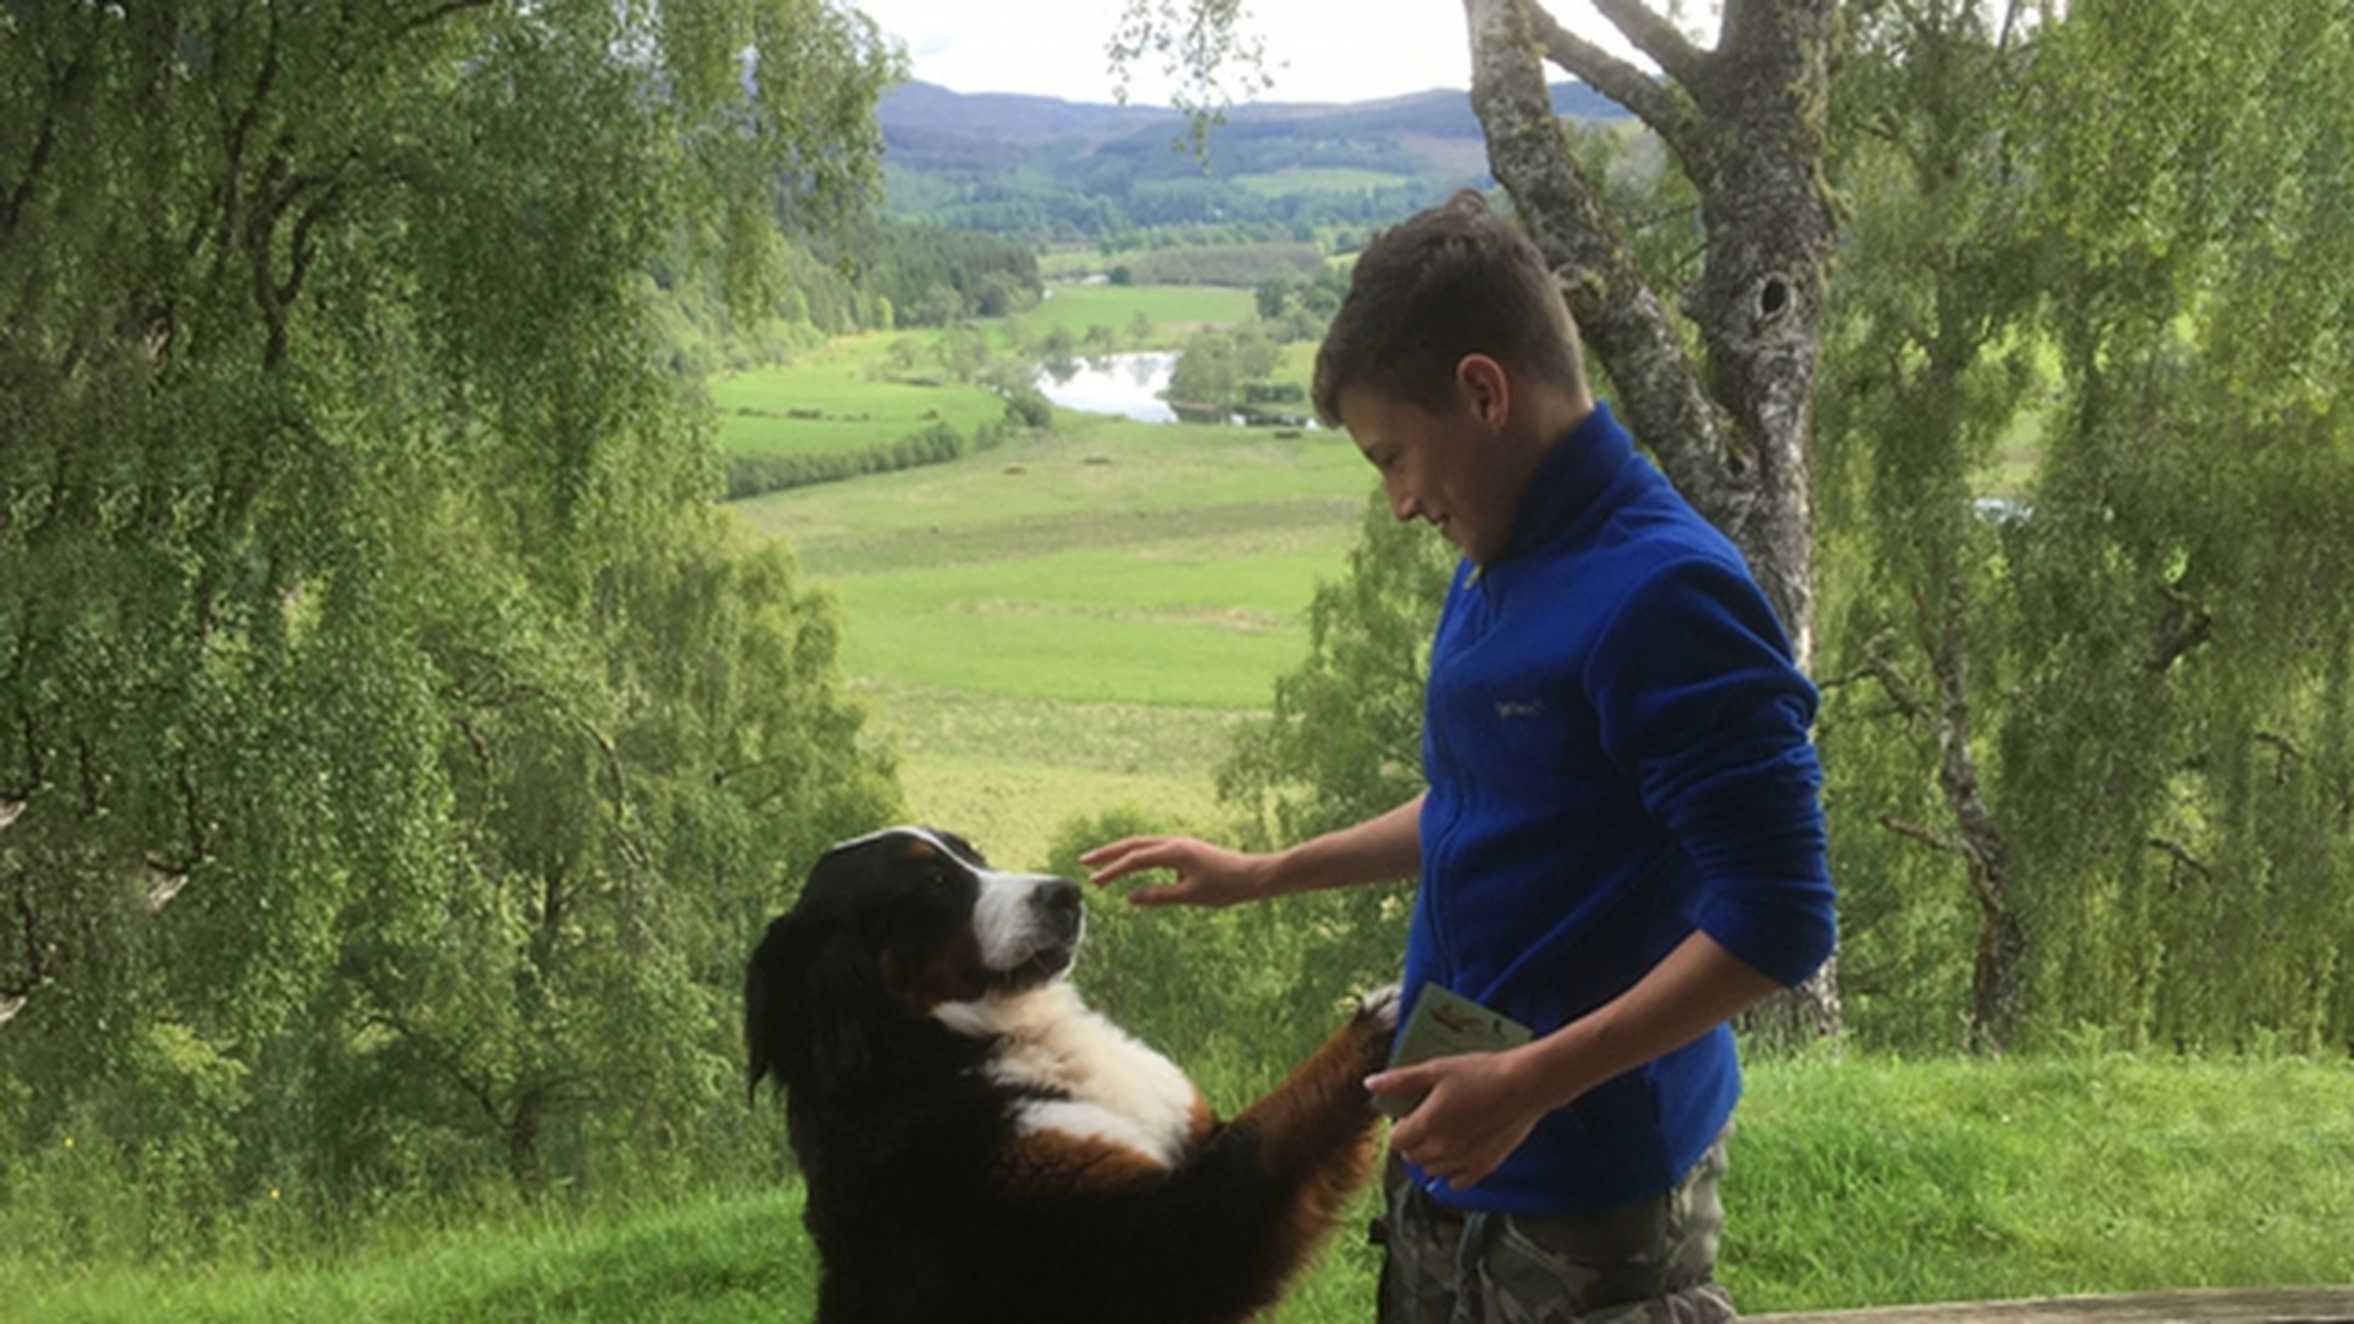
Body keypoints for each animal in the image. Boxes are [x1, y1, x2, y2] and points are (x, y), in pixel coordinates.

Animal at [743, 819, 1384, 1309]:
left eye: (975, 857)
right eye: (933, 881)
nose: (1066, 893)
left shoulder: (1194, 1132)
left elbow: (1277, 1117)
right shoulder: (1151, 1236)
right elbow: (1273, 1127)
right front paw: (1381, 1018)